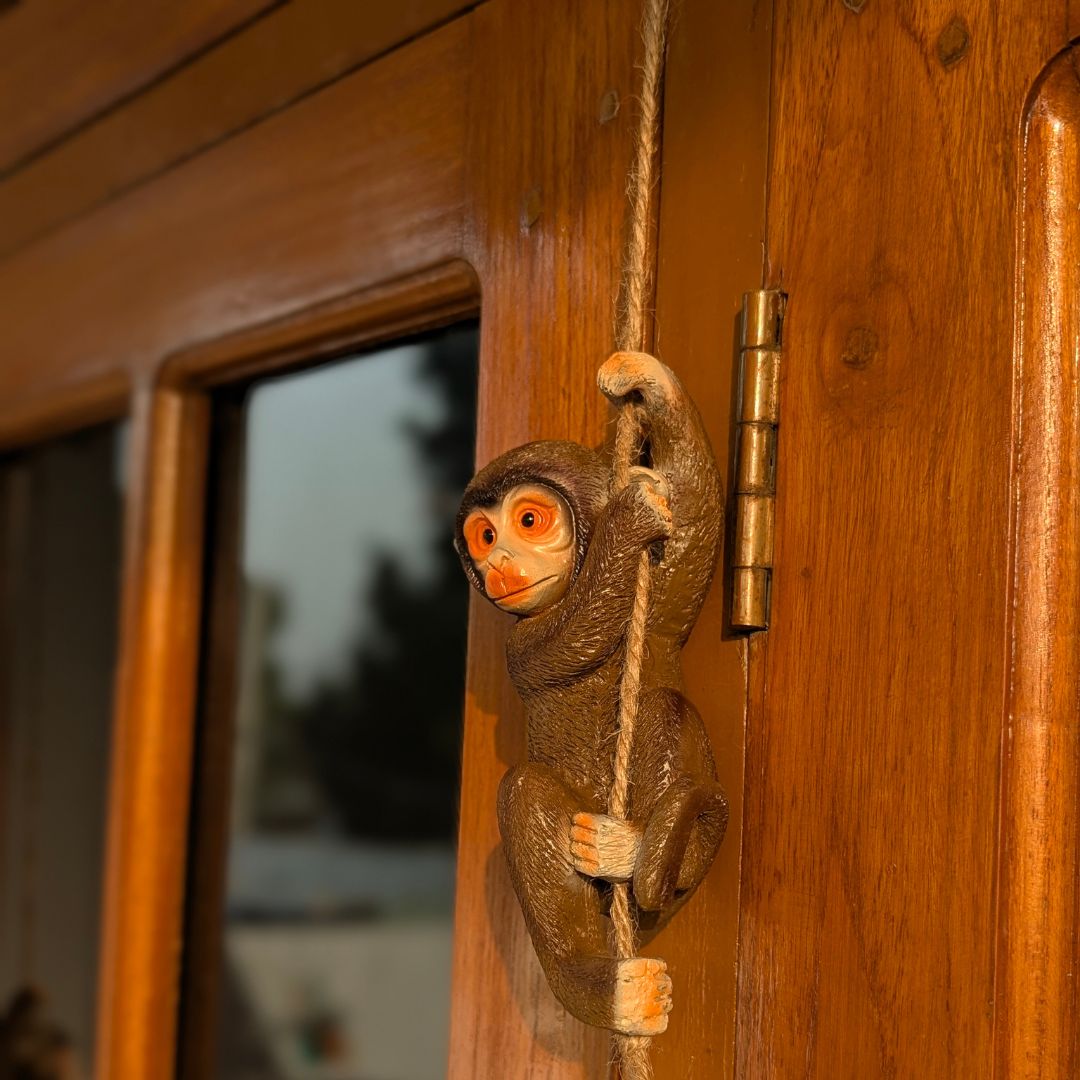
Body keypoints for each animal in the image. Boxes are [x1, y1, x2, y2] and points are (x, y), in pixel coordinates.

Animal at [454, 351, 728, 1037]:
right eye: (484, 536)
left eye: (528, 521)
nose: (498, 566)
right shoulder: (522, 645)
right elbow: (575, 632)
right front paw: (628, 521)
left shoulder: (659, 605)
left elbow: (693, 531)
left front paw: (648, 381)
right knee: (524, 794)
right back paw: (607, 991)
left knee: (662, 708)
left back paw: (625, 849)